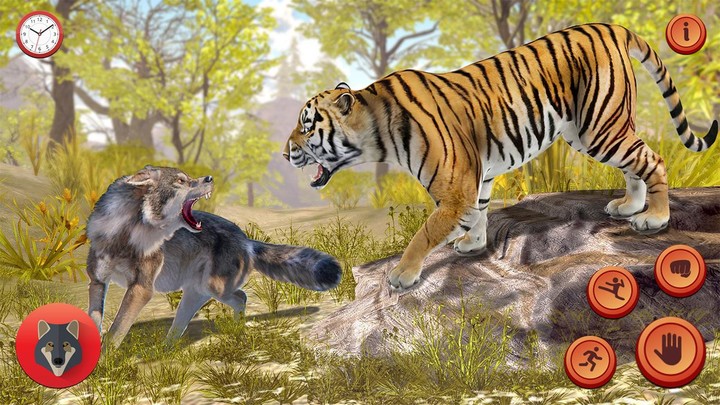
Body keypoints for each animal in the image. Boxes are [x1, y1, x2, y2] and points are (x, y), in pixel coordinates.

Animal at [86, 165, 342, 347]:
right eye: (181, 180)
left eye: (188, 177)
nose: (209, 178)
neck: (124, 233)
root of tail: (246, 240)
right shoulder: (97, 282)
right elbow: (95, 321)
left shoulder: (141, 288)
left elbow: (116, 331)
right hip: (196, 293)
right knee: (180, 327)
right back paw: (165, 351)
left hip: (215, 288)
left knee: (242, 297)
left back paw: (237, 330)